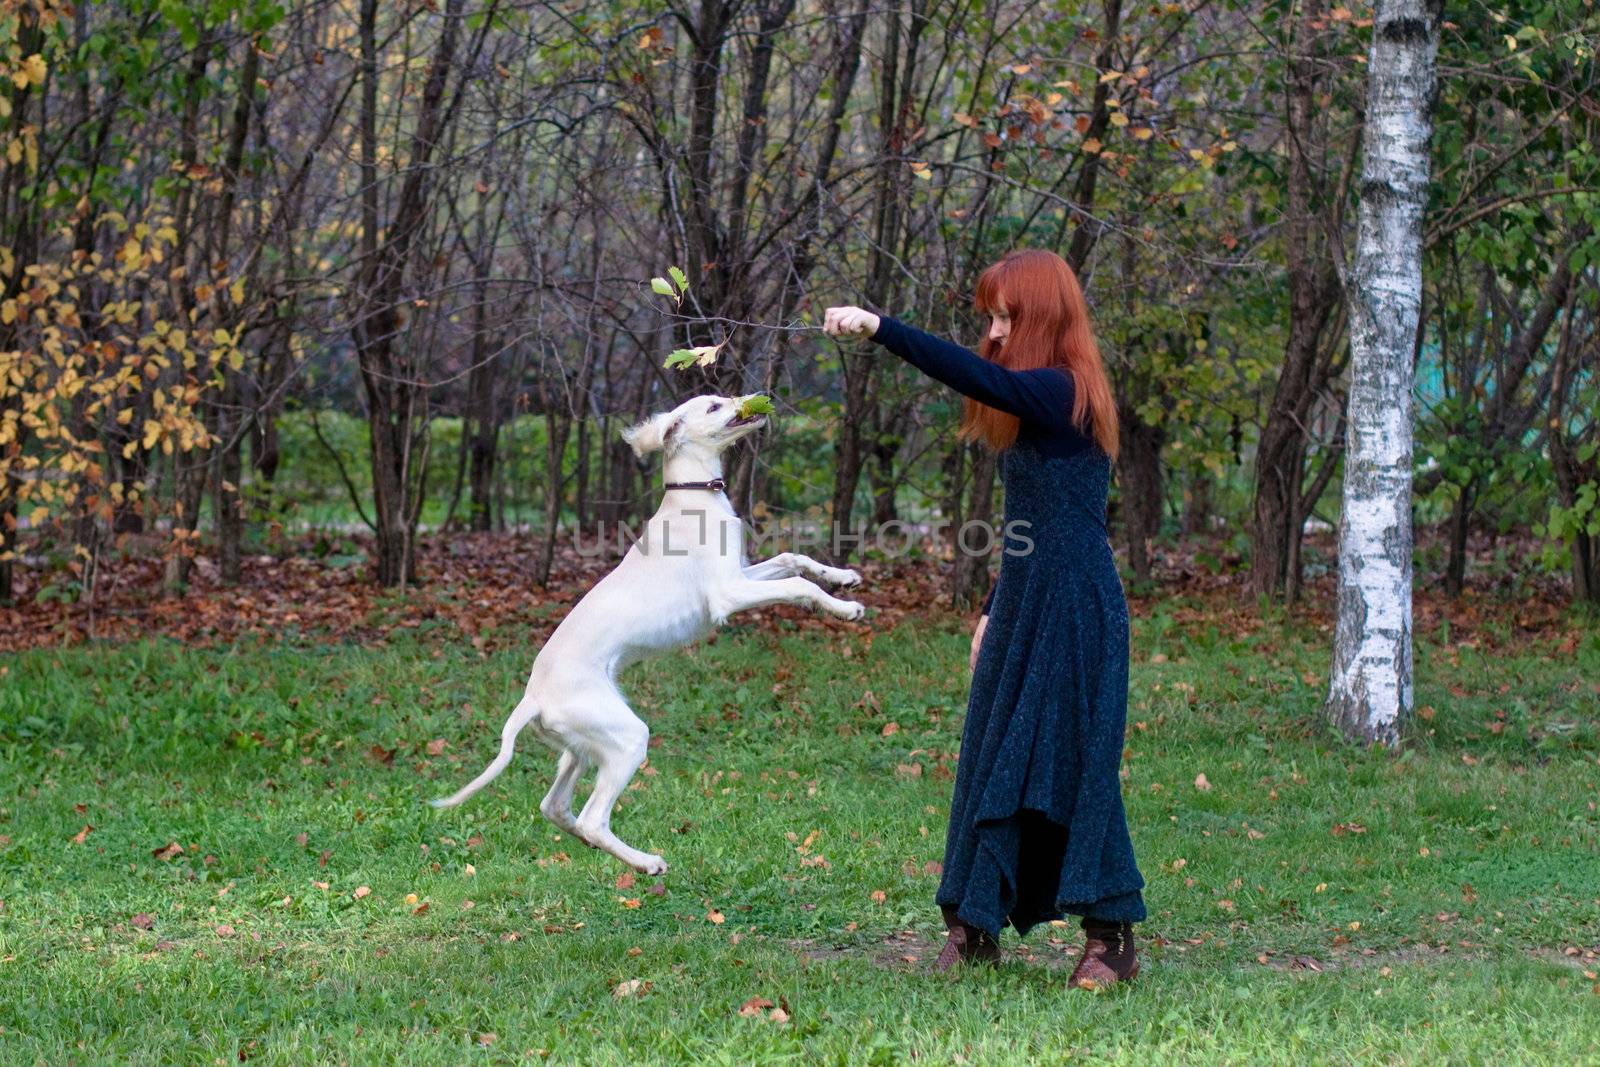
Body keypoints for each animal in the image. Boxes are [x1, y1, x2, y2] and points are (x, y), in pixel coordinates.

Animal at [428, 395, 864, 876]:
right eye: (715, 405)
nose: (753, 400)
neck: (694, 495)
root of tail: (533, 698)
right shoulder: (728, 593)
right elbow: (799, 584)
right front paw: (844, 609)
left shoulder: (742, 573)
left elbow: (793, 558)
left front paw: (842, 578)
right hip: (625, 737)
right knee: (592, 818)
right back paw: (646, 863)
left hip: (581, 747)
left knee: (554, 807)